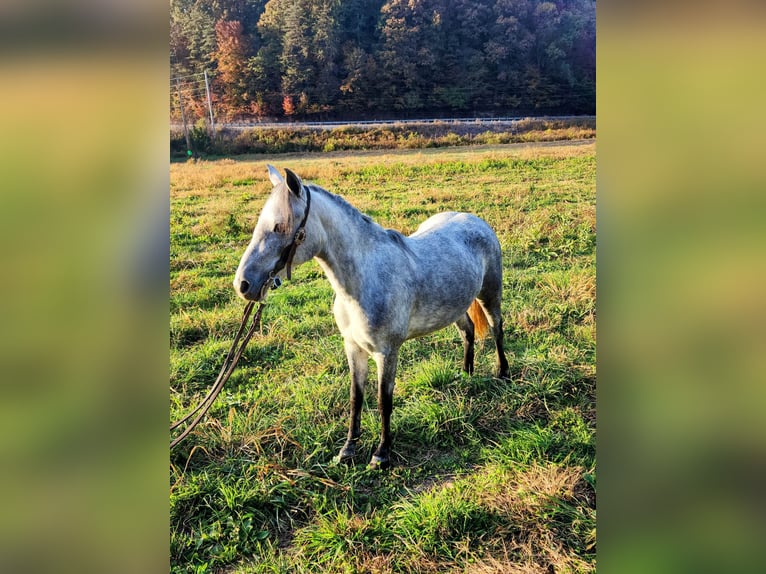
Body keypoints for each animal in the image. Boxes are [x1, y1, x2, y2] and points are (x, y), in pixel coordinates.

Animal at [234, 164, 510, 470]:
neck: (363, 280)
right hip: (456, 306)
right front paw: (348, 450)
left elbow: (382, 401)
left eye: (279, 226)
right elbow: (356, 398)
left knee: (497, 329)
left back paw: (503, 374)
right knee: (468, 331)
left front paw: (381, 454)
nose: (243, 284)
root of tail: (475, 220)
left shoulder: (386, 352)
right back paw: (466, 374)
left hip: (490, 294)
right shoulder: (353, 348)